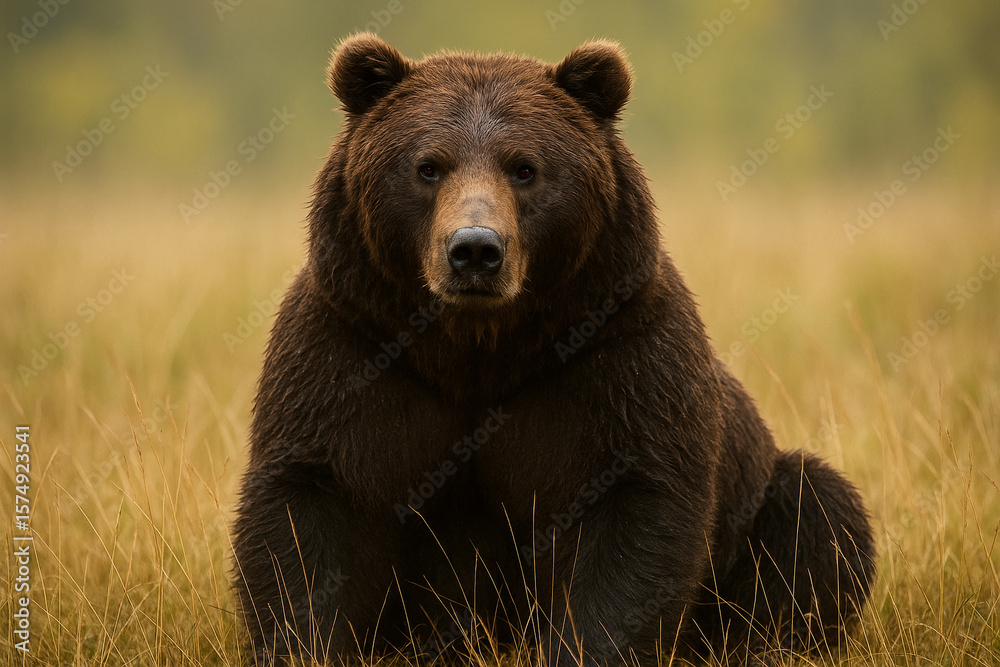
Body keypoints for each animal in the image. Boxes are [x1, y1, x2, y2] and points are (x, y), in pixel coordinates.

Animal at [231, 34, 876, 667]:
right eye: (427, 166)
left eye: (525, 168)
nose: (474, 249)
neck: (479, 349)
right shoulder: (352, 345)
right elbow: (311, 510)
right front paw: (304, 645)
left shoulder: (617, 356)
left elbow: (635, 515)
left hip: (757, 501)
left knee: (818, 515)